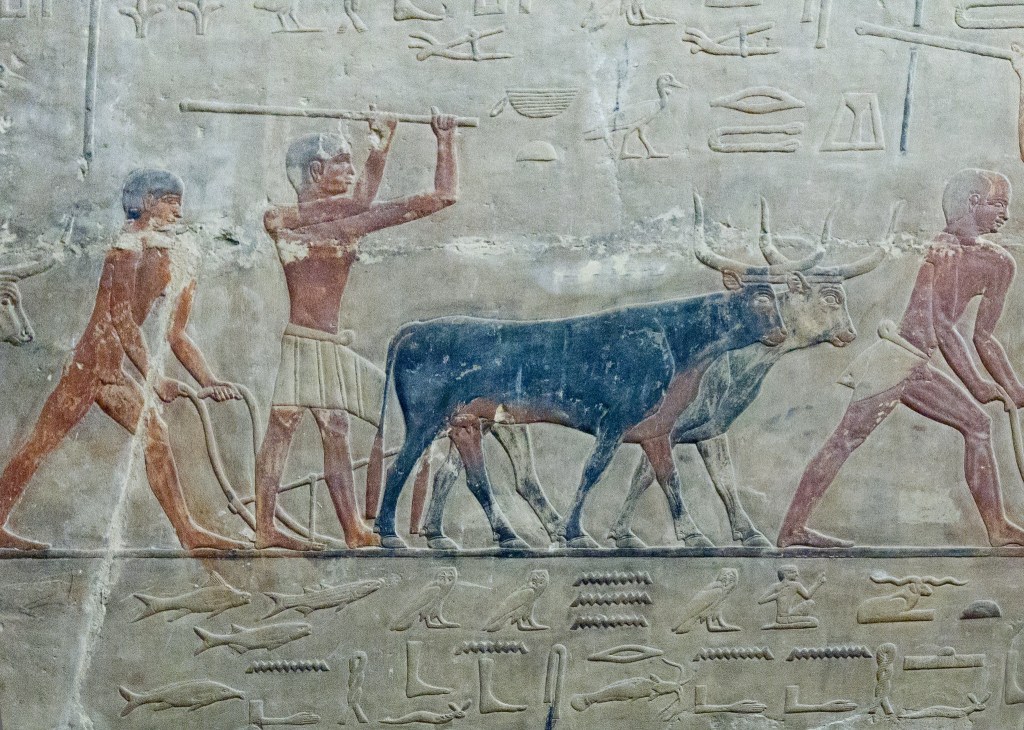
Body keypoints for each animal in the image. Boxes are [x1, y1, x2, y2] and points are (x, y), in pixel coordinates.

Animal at [366, 195, 819, 550]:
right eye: (761, 298)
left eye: (776, 296)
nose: (779, 333)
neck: (675, 340)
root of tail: (417, 326)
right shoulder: (614, 421)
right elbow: (594, 470)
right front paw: (575, 533)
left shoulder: (655, 431)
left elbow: (669, 479)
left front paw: (691, 534)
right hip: (426, 419)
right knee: (400, 466)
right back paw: (390, 534)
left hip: (465, 424)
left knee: (474, 479)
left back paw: (504, 536)